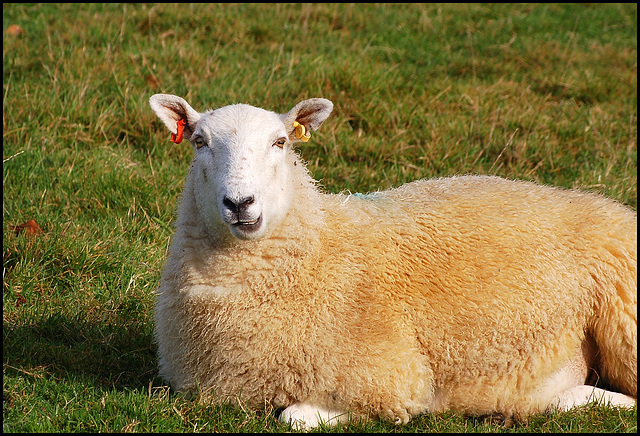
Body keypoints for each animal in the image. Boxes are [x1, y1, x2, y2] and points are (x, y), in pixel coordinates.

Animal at [149, 93, 636, 430]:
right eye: (199, 141)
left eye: (281, 141)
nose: (240, 203)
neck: (321, 248)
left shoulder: (392, 378)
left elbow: (298, 417)